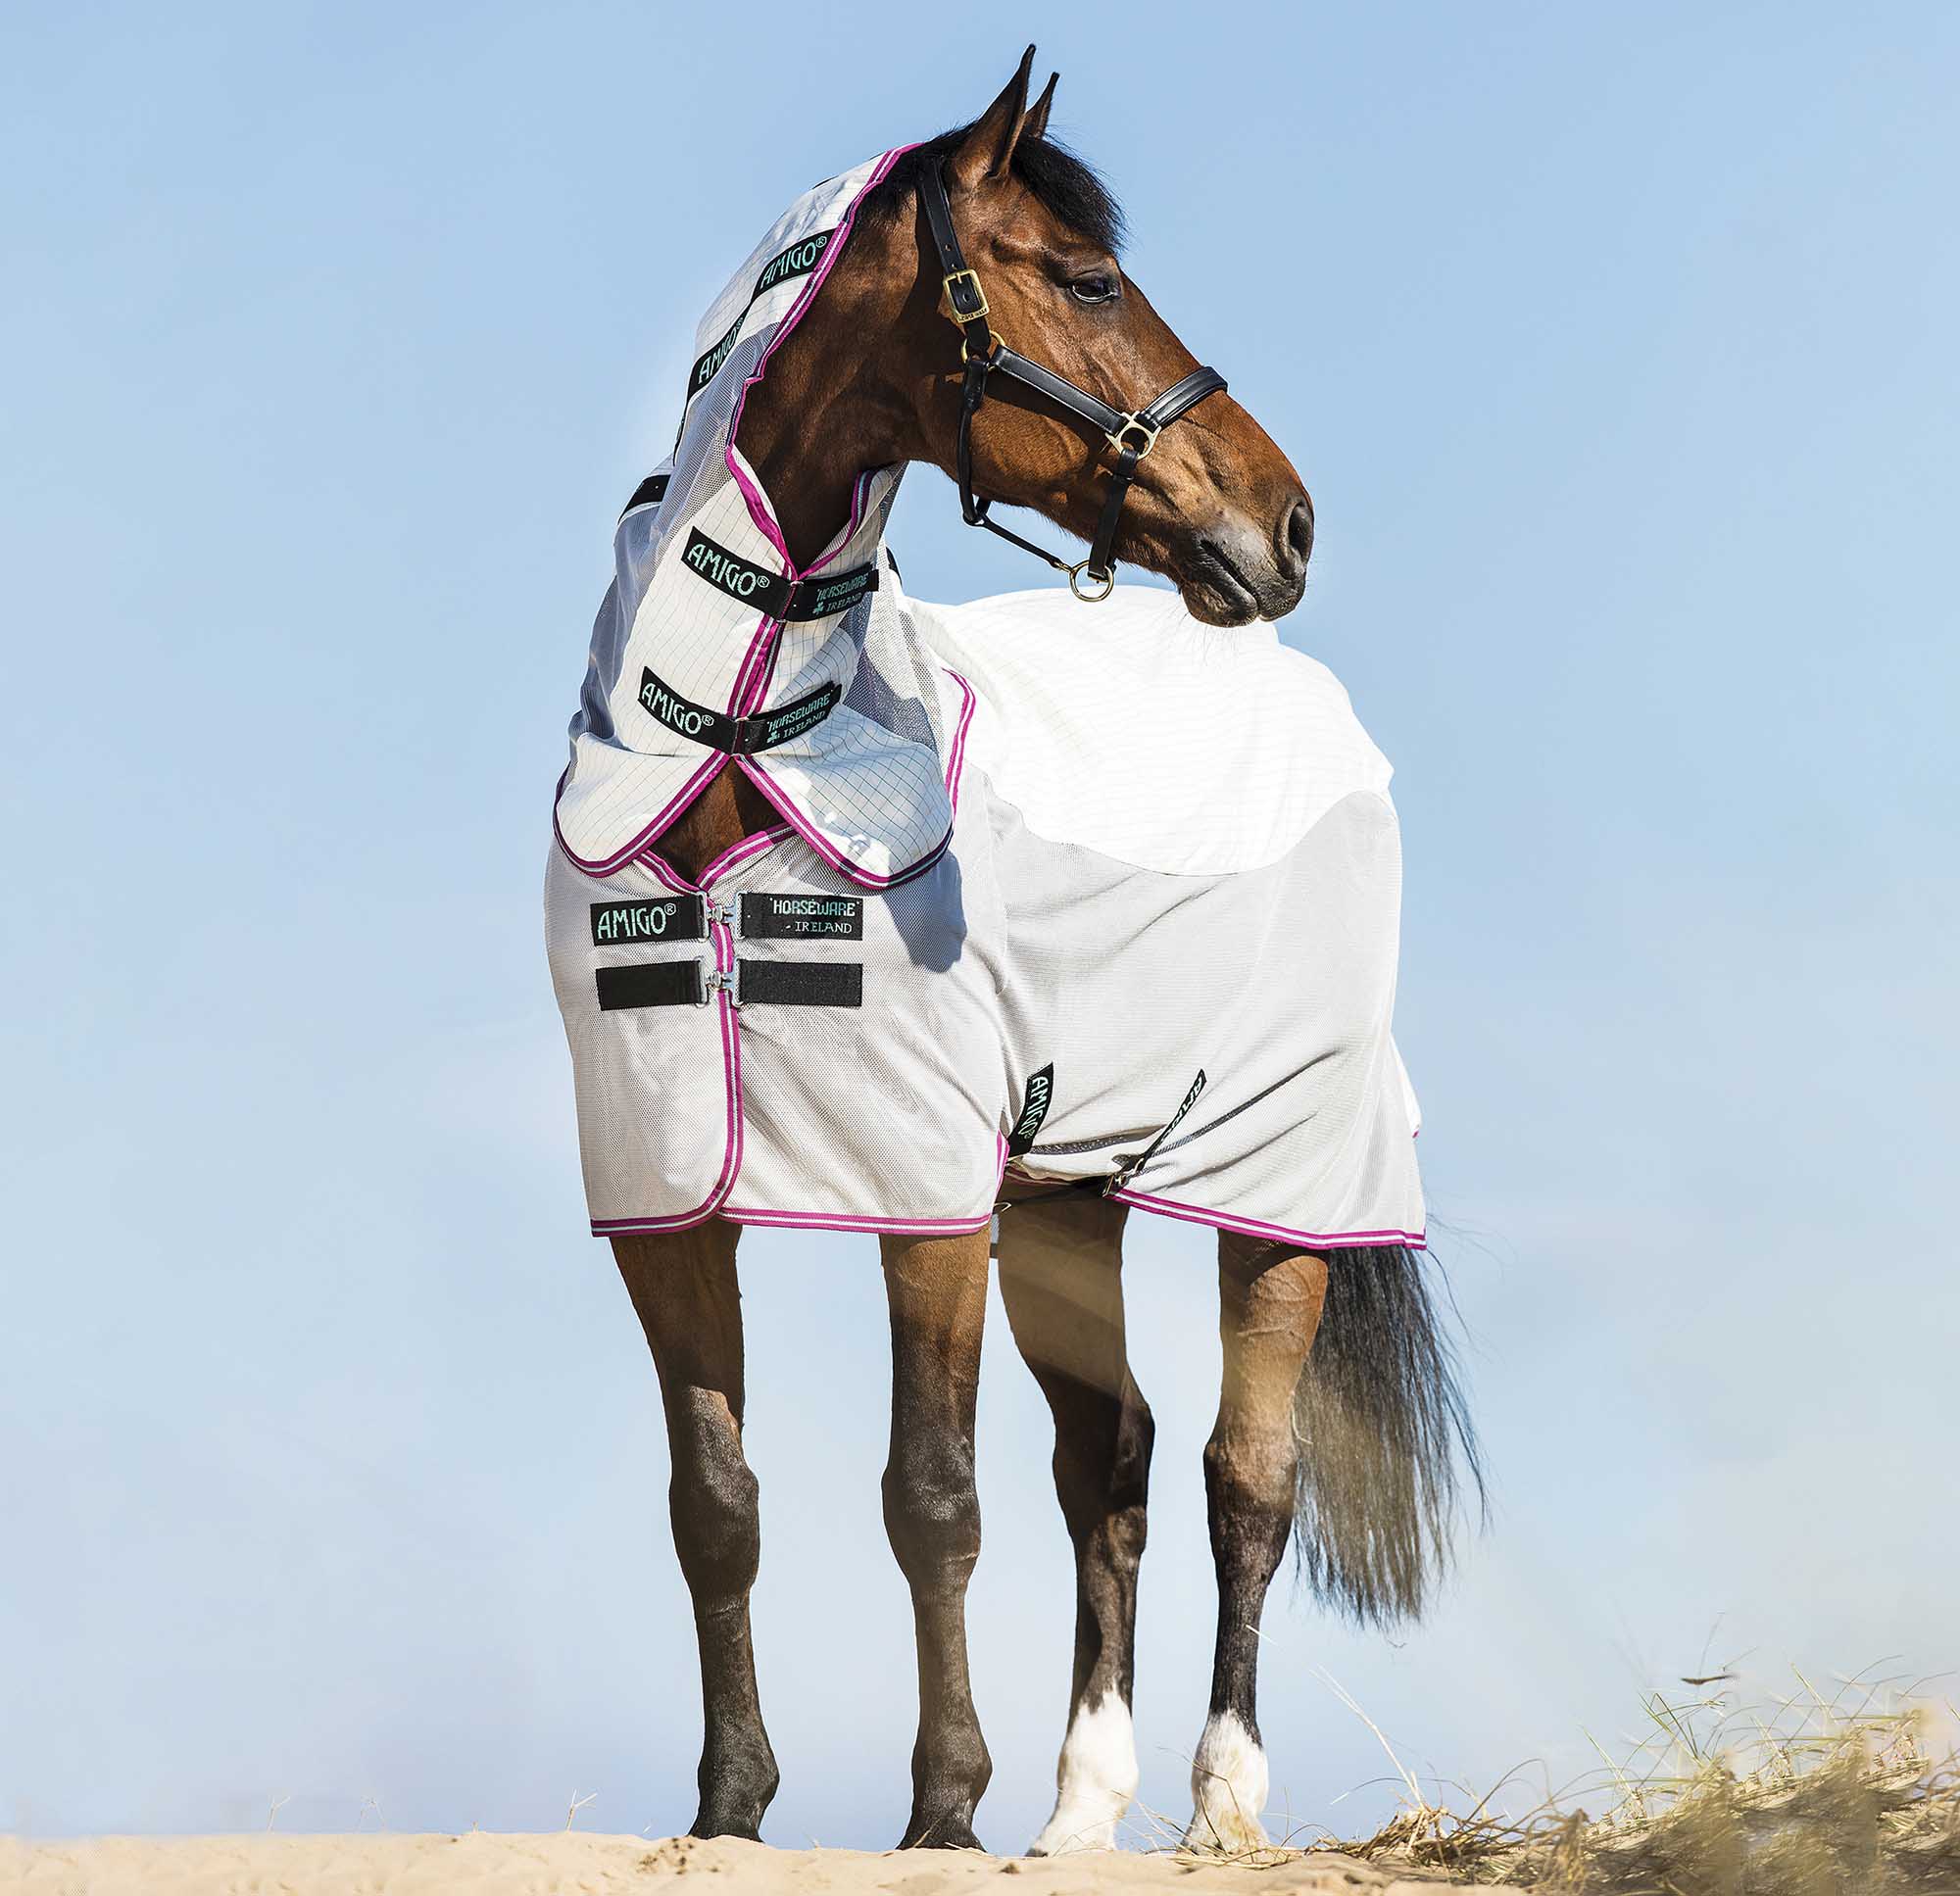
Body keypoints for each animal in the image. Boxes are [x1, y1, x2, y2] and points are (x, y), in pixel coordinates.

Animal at [553, 47, 1479, 1857]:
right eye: (1091, 277)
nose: (1290, 525)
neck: (744, 733)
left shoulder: (927, 1196)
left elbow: (932, 1493)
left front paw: (940, 1809)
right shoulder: (670, 1192)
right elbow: (717, 1499)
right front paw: (732, 1803)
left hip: (1279, 1191)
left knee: (1243, 1475)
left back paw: (1220, 1799)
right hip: (1067, 1196)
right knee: (1112, 1464)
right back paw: (1080, 1807)